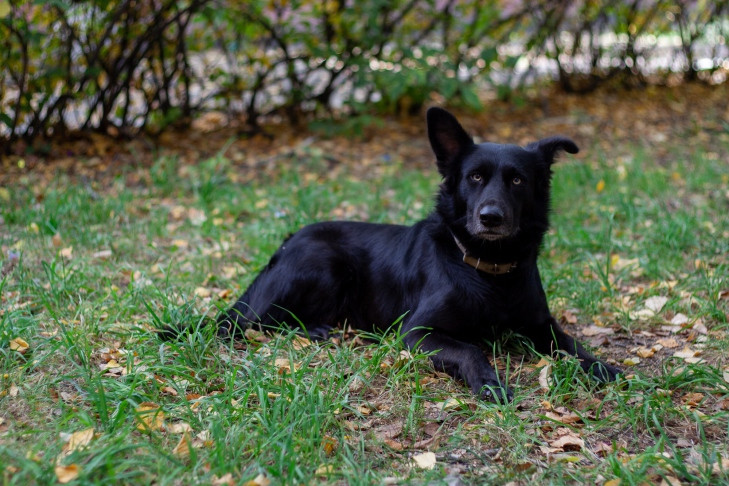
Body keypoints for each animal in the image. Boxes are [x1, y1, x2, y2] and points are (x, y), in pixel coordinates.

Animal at [218, 108, 620, 400]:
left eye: (518, 180)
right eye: (474, 177)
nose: (491, 217)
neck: (487, 269)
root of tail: (287, 242)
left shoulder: (541, 325)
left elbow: (572, 345)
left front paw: (603, 367)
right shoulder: (416, 332)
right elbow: (470, 350)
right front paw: (490, 384)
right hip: (323, 263)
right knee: (253, 322)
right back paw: (315, 329)